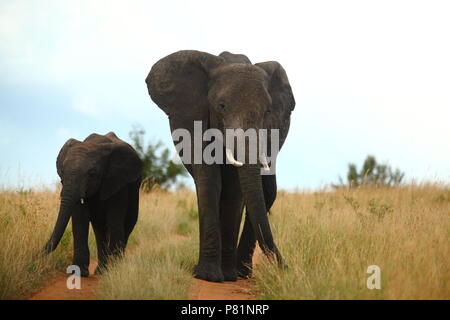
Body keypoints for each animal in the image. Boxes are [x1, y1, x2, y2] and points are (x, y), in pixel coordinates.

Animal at [43, 131, 142, 276]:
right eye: (63, 173)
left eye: (92, 174)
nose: (37, 254)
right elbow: (80, 219)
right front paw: (78, 272)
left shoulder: (119, 182)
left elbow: (114, 219)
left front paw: (115, 271)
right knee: (100, 232)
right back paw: (100, 271)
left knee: (127, 225)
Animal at [147, 48, 296, 282]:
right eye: (221, 106)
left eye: (267, 111)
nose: (288, 267)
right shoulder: (195, 117)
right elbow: (210, 179)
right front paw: (208, 276)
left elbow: (235, 189)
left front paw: (225, 276)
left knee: (265, 193)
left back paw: (240, 273)